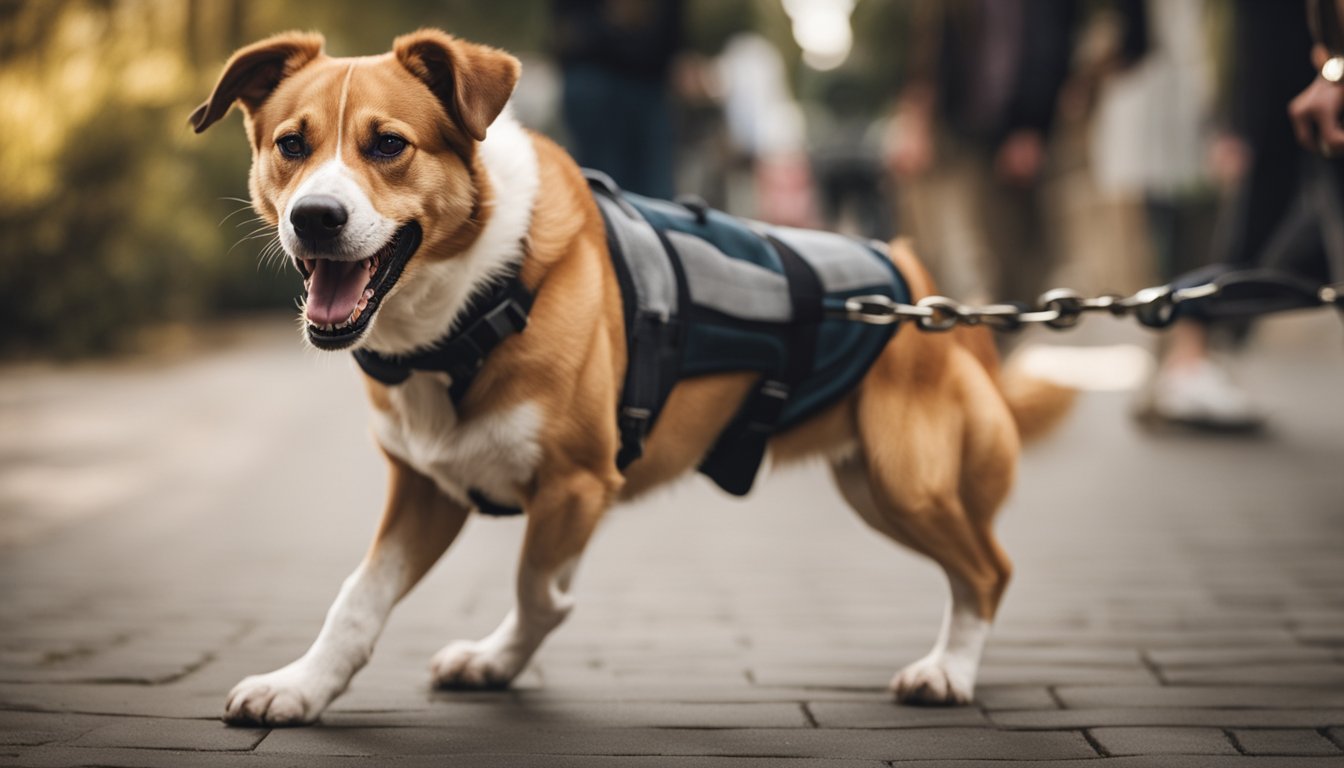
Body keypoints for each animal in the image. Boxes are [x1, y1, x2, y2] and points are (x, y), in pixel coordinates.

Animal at [192, 30, 1069, 726]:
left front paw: (508, 650)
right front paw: (301, 687)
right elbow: (357, 600)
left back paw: (949, 670)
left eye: (387, 146)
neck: (473, 306)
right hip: (870, 481)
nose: (315, 218)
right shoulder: (425, 488)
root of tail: (922, 285)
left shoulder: (578, 482)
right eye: (292, 146)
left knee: (989, 569)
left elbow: (538, 588)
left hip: (904, 481)